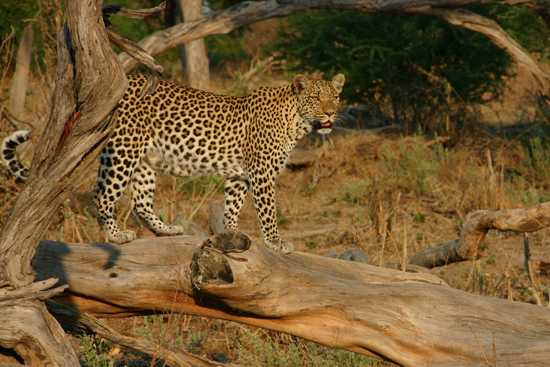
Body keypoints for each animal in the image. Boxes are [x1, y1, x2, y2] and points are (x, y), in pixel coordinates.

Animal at [2, 73, 344, 254]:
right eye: (316, 98)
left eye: (335, 97)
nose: (330, 113)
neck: (296, 121)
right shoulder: (261, 174)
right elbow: (268, 212)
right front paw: (276, 243)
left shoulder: (239, 175)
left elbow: (233, 206)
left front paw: (232, 235)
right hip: (124, 151)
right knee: (104, 196)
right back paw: (116, 236)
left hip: (142, 162)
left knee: (140, 202)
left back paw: (166, 231)